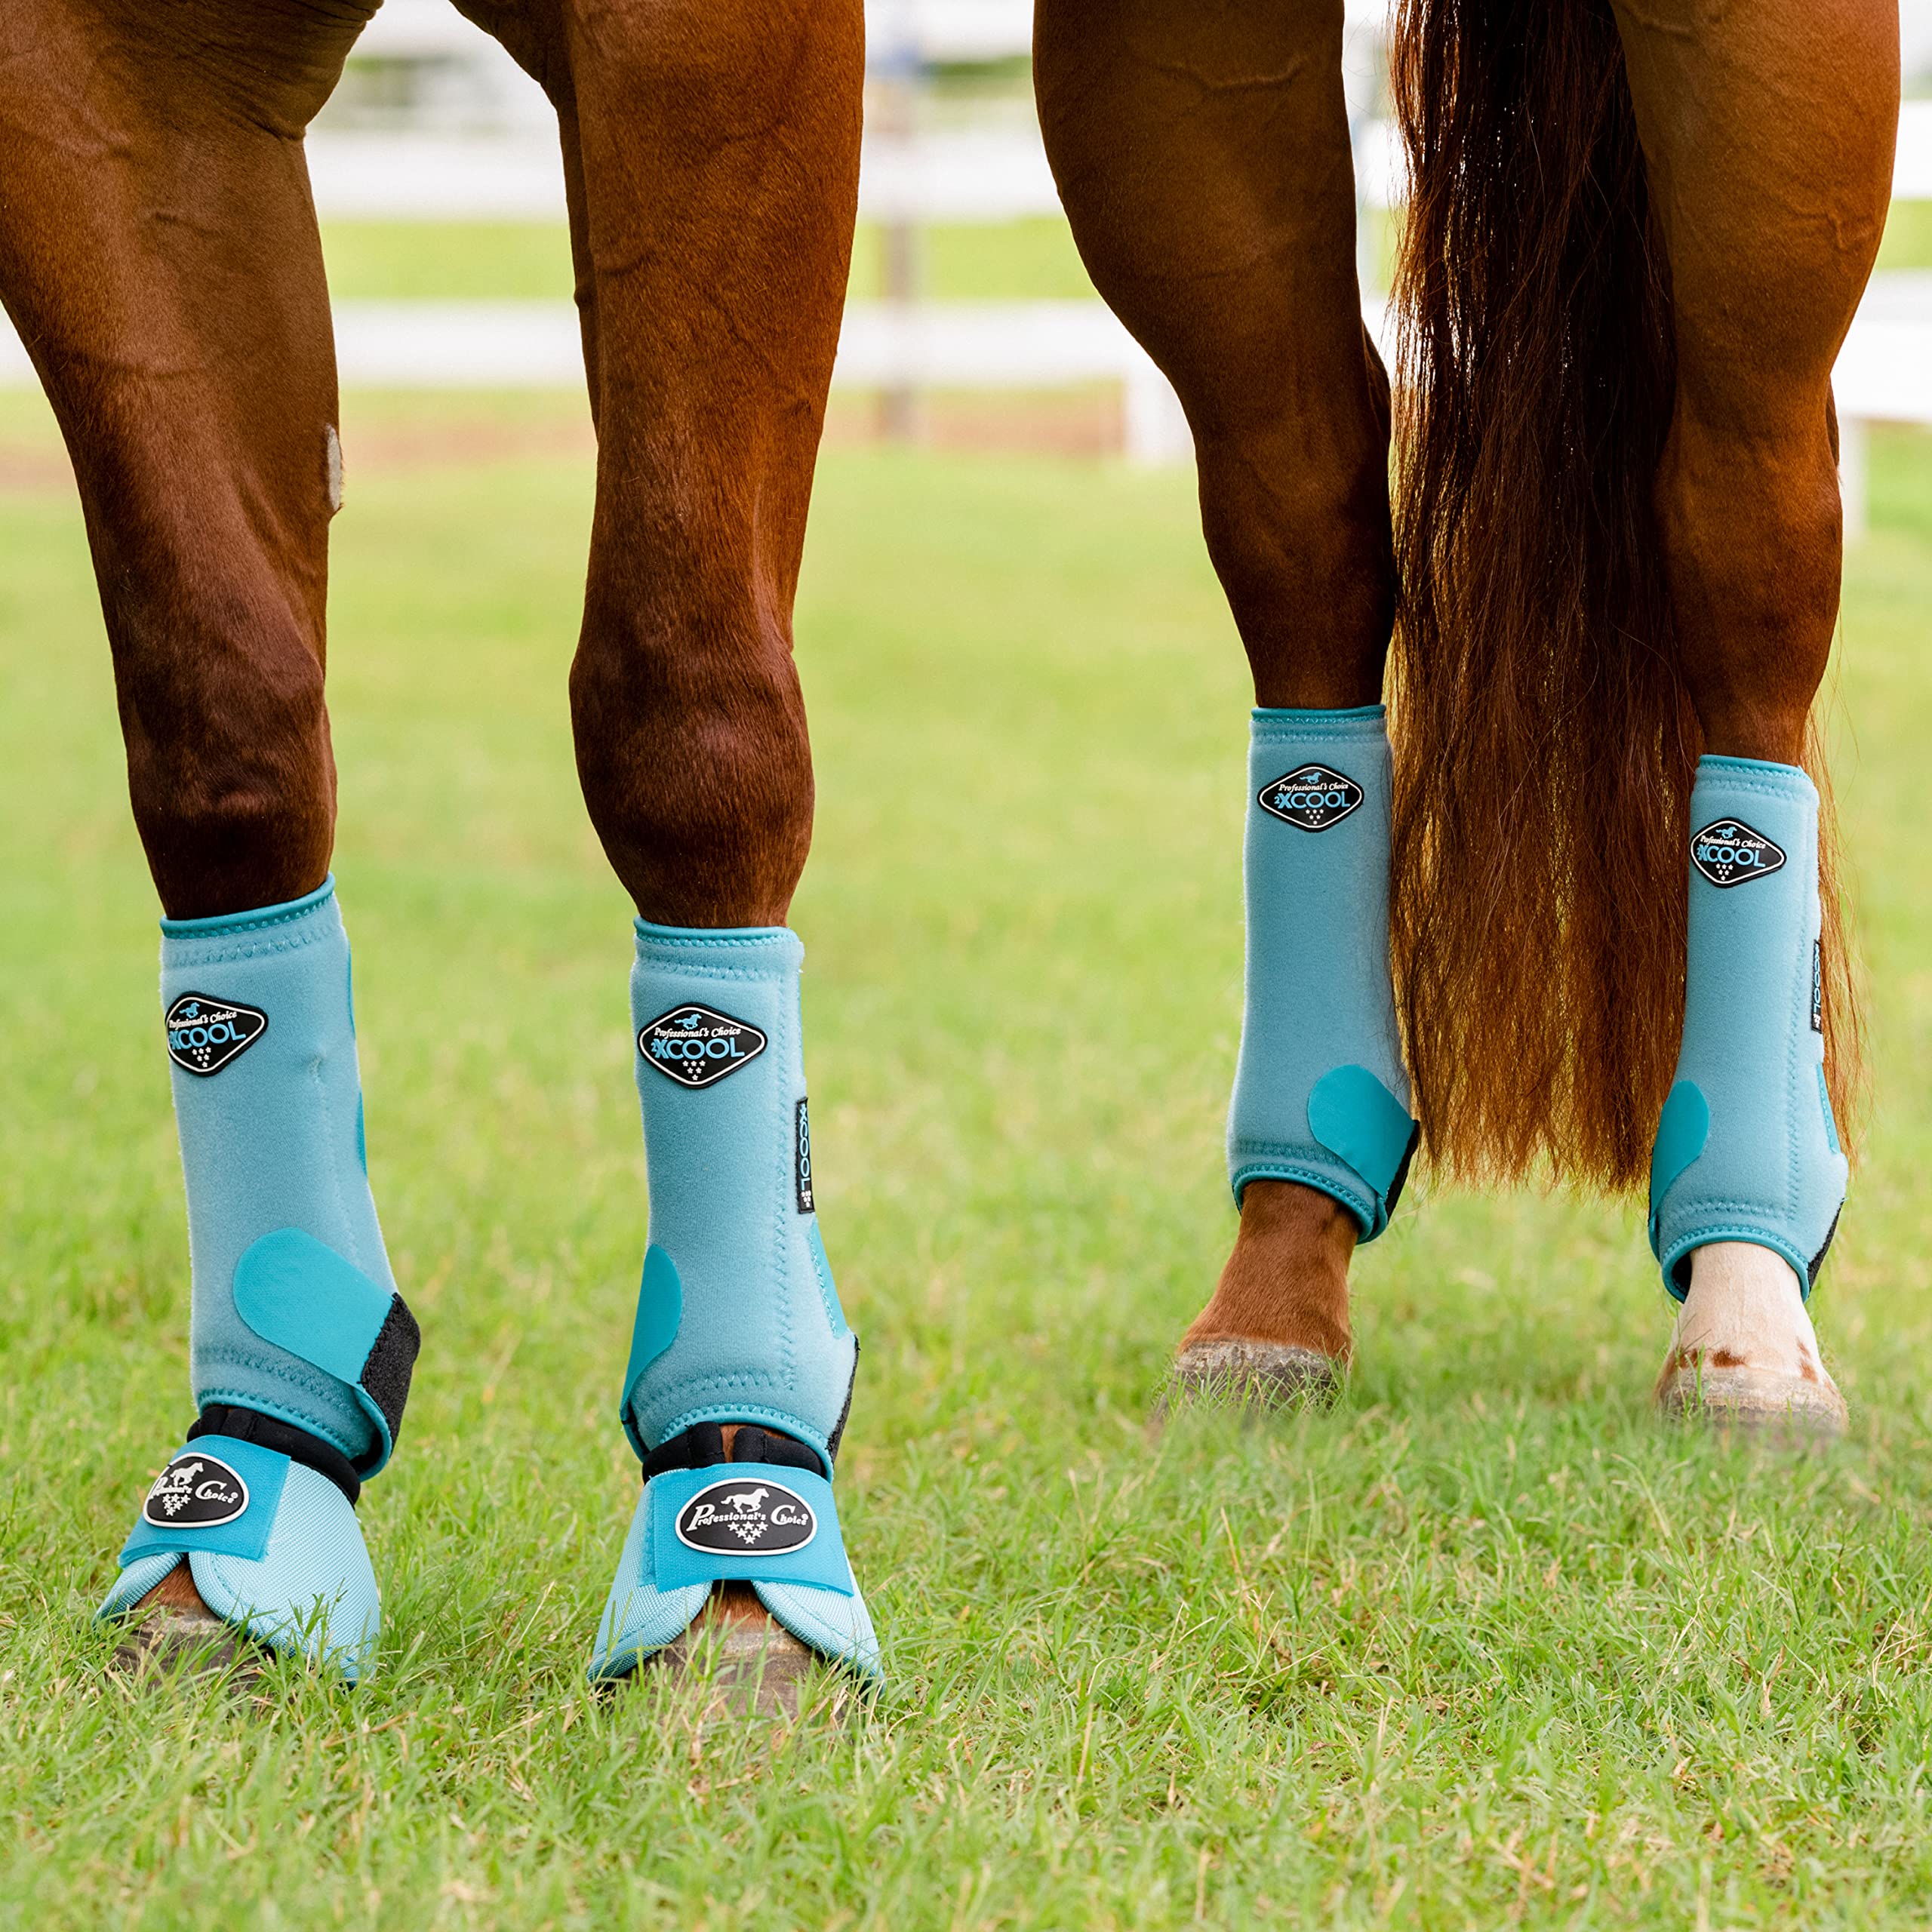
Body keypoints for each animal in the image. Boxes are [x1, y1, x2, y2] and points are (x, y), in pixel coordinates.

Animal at [0, 0, 1897, 1698]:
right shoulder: (115, 77)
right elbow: (227, 730)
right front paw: (246, 1496)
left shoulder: (707, 50)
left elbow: (685, 717)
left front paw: (737, 1523)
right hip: (1181, 88)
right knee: (1304, 514)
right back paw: (1281, 1266)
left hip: (1759, 86)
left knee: (1739, 529)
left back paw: (1744, 1283)